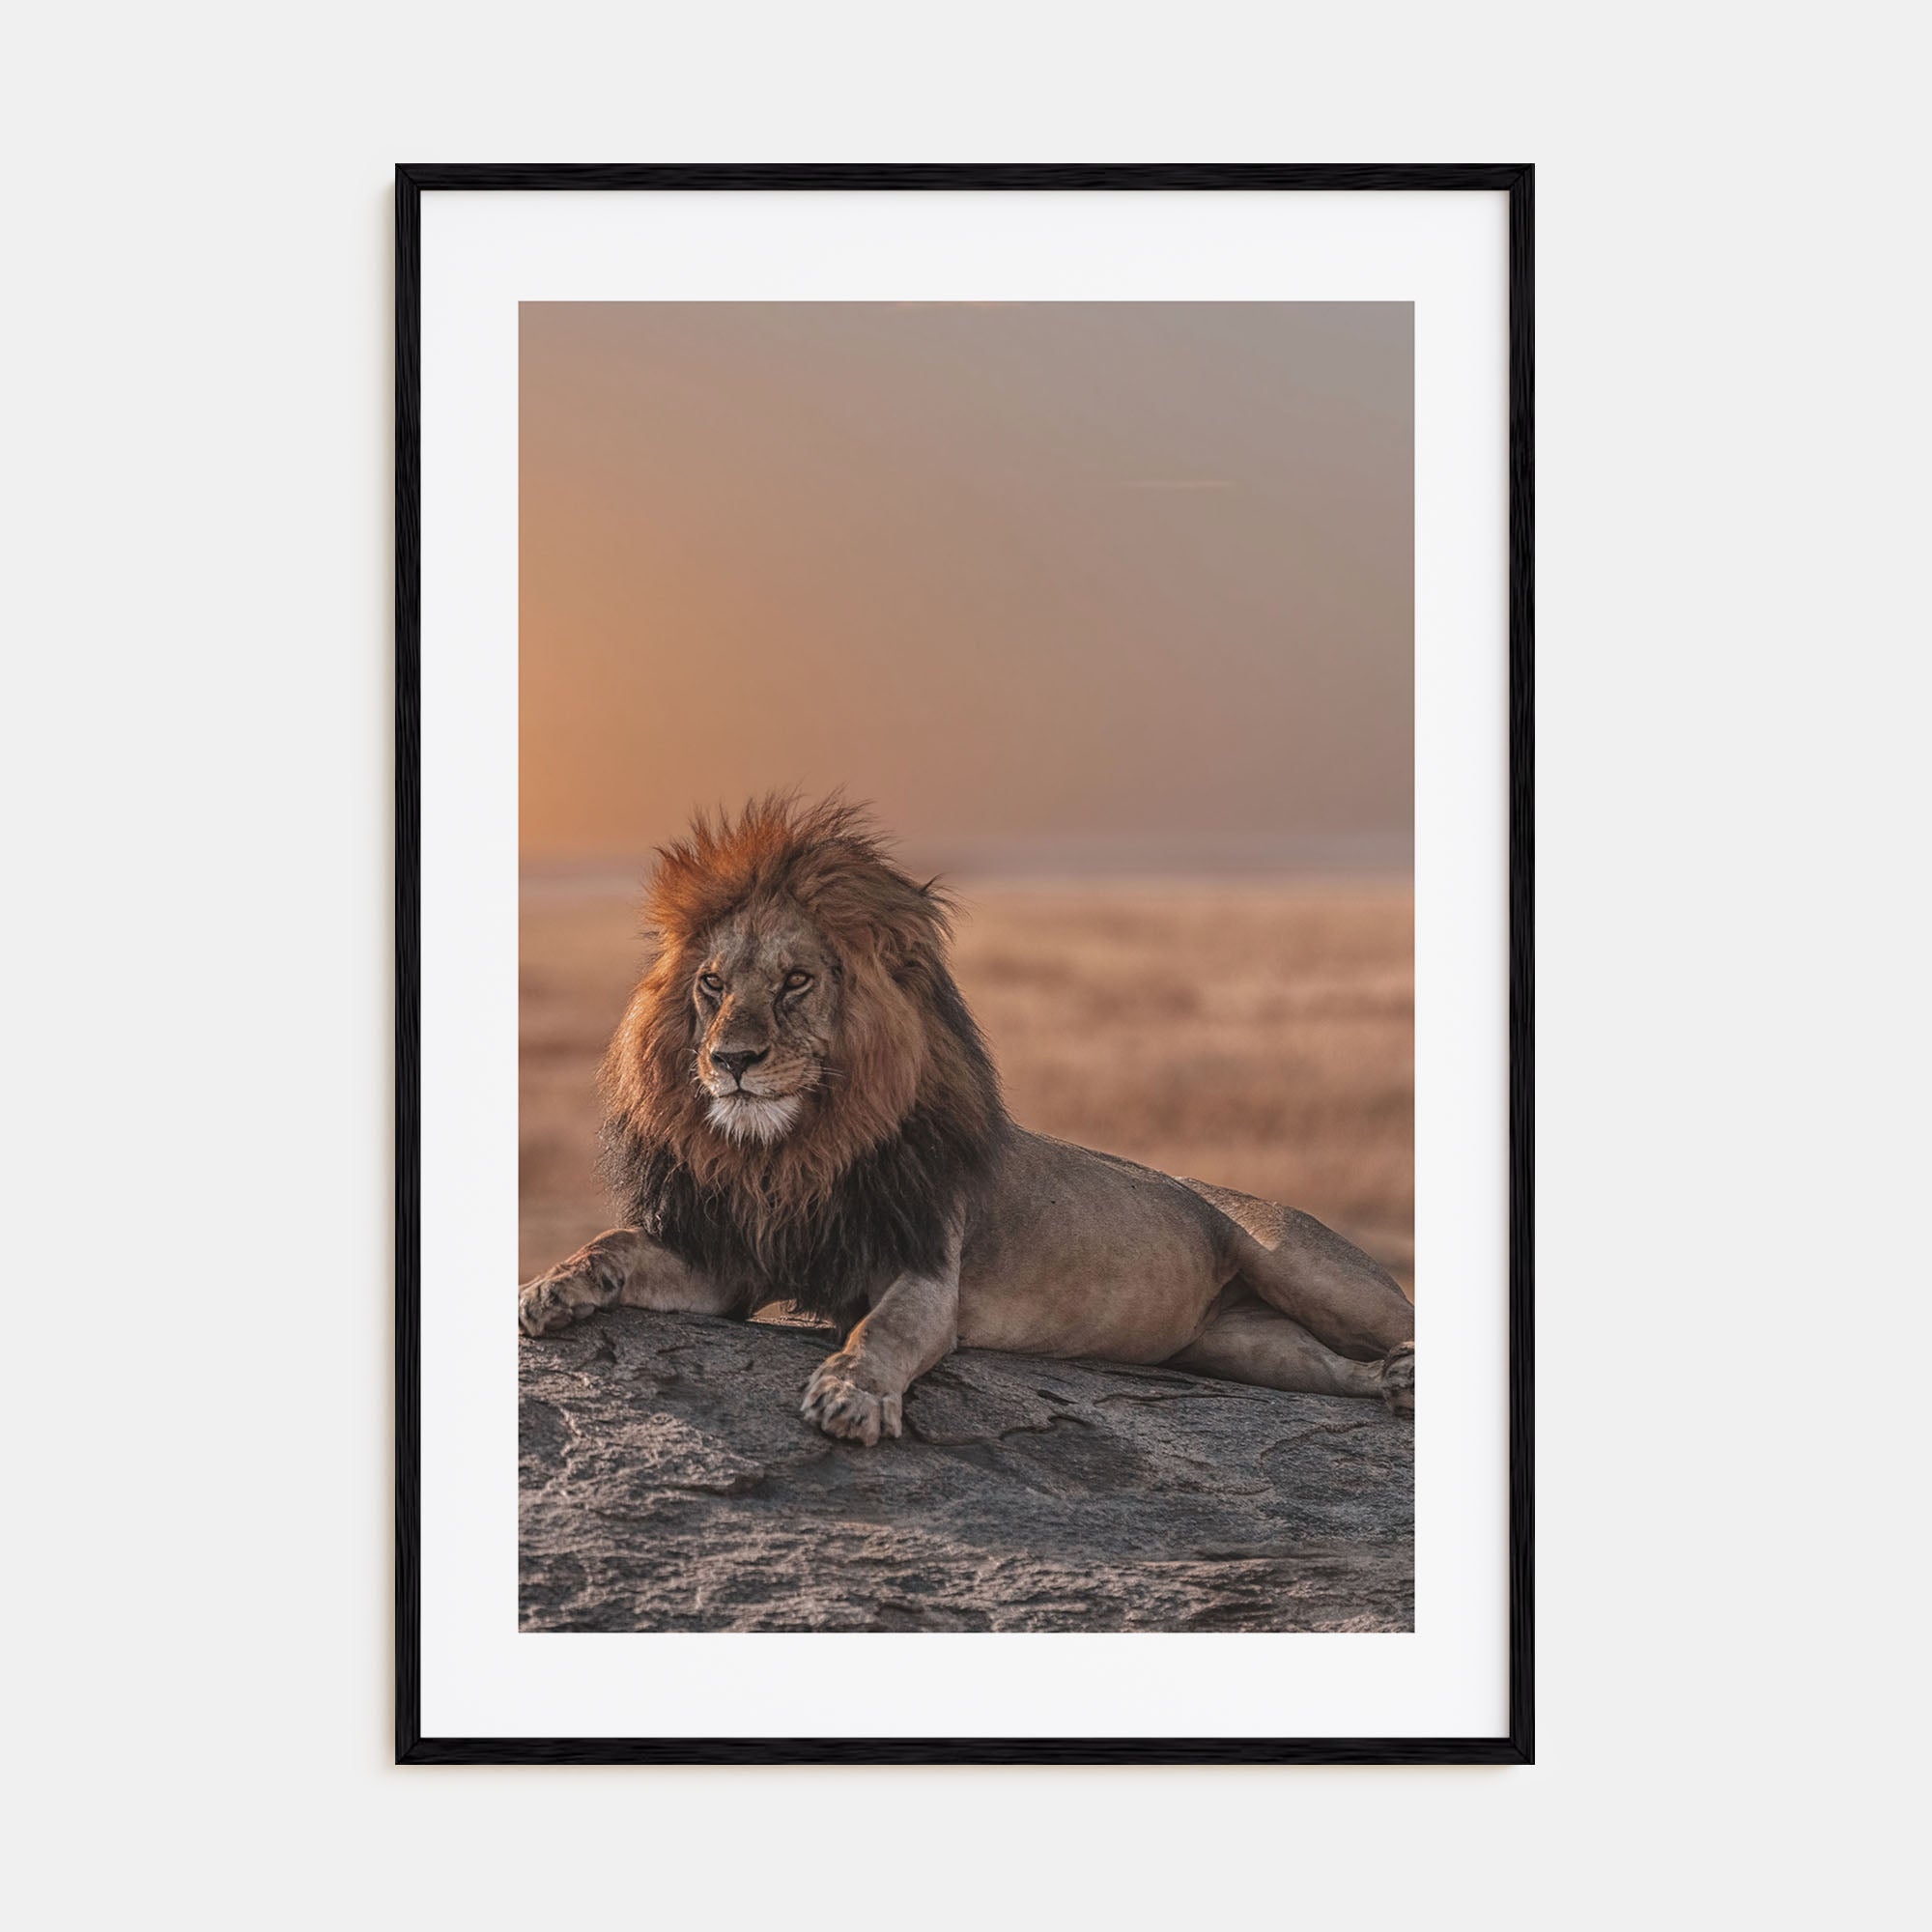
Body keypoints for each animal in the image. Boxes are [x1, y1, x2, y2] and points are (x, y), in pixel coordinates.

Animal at [518, 795, 1415, 1444]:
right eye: (711, 984)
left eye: (797, 981)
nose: (732, 1060)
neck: (792, 1152)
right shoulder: (732, 1262)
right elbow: (616, 1245)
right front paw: (553, 1286)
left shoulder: (923, 1272)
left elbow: (879, 1332)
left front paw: (851, 1396)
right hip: (1238, 1342)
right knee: (1329, 1369)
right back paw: (1392, 1384)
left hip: (1306, 1267)